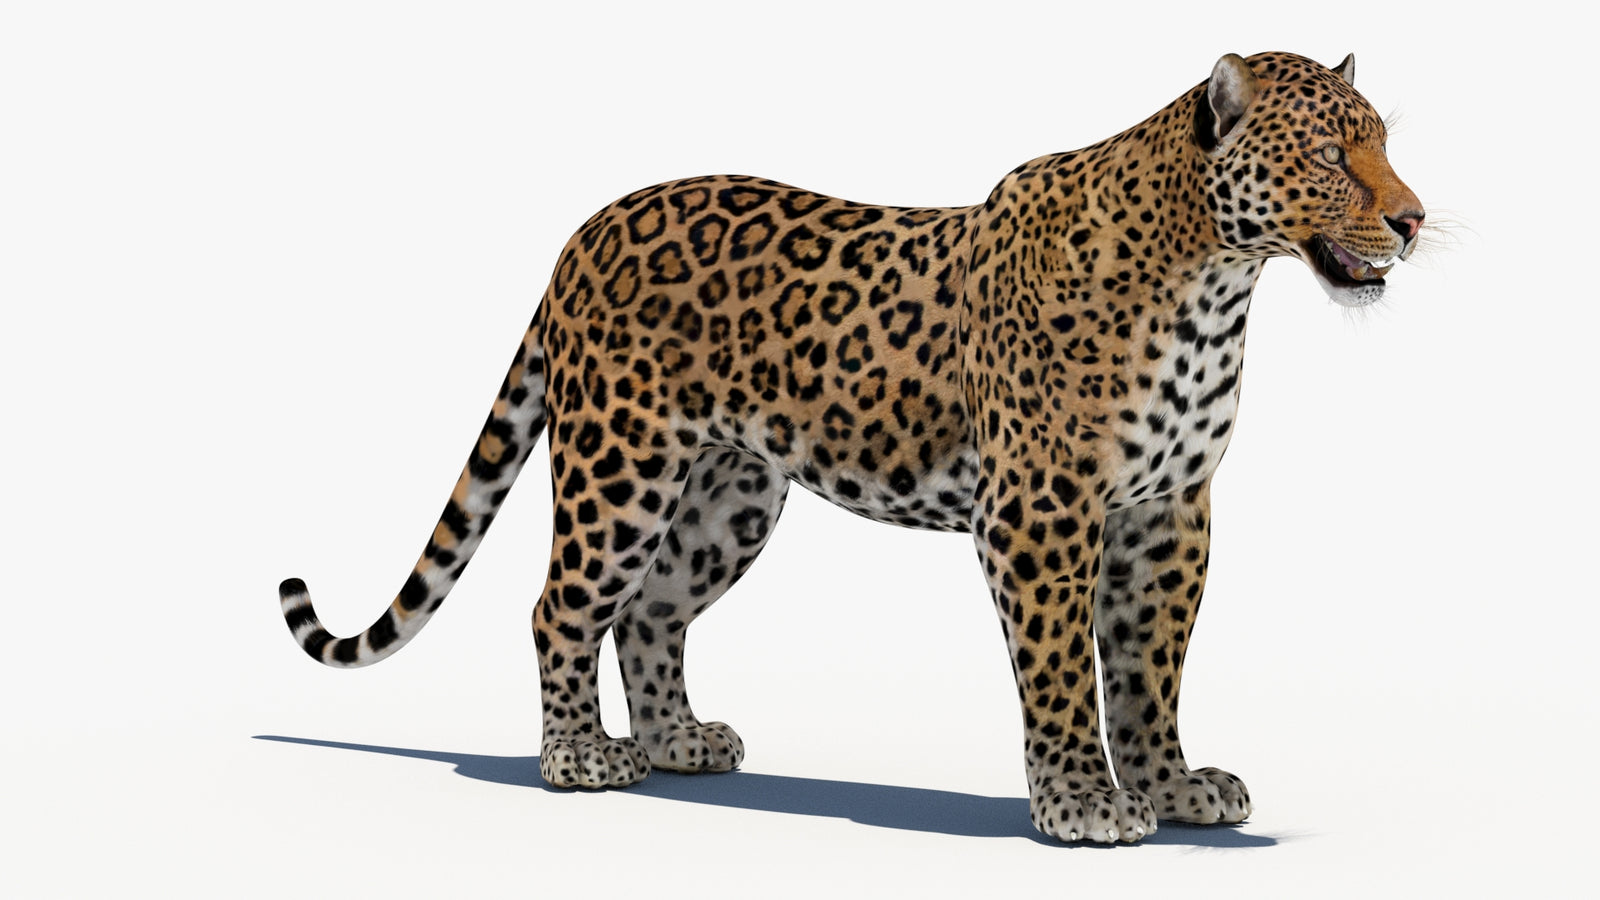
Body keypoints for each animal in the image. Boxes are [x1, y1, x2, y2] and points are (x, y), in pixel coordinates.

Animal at [278, 51, 1424, 844]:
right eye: (1331, 155)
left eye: (1382, 143)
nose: (1414, 220)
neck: (1215, 282)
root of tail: (588, 228)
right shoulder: (1042, 512)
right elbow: (1061, 664)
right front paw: (1080, 803)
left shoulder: (1169, 512)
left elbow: (1150, 665)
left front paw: (1170, 786)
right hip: (621, 466)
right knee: (561, 606)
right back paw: (577, 756)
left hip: (729, 497)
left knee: (650, 612)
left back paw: (676, 742)